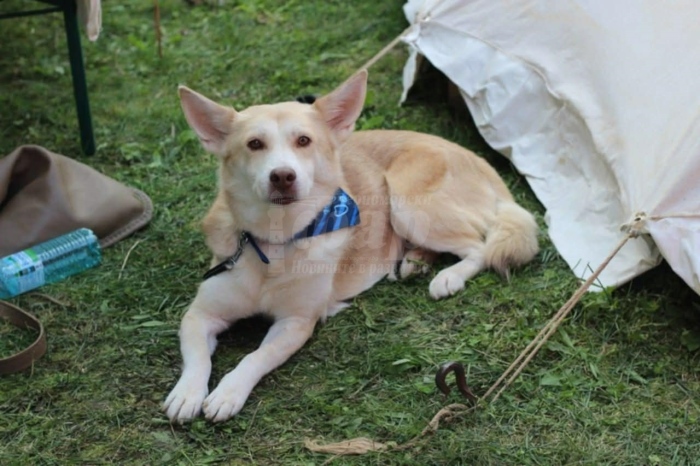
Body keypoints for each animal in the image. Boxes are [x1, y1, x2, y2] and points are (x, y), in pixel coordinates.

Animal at [164, 69, 540, 422]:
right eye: (254, 144)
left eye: (304, 140)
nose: (283, 176)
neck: (275, 242)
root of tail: (479, 160)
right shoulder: (200, 314)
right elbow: (197, 357)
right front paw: (187, 393)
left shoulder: (296, 323)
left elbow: (255, 357)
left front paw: (229, 392)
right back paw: (414, 261)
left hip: (407, 202)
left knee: (479, 246)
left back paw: (447, 277)